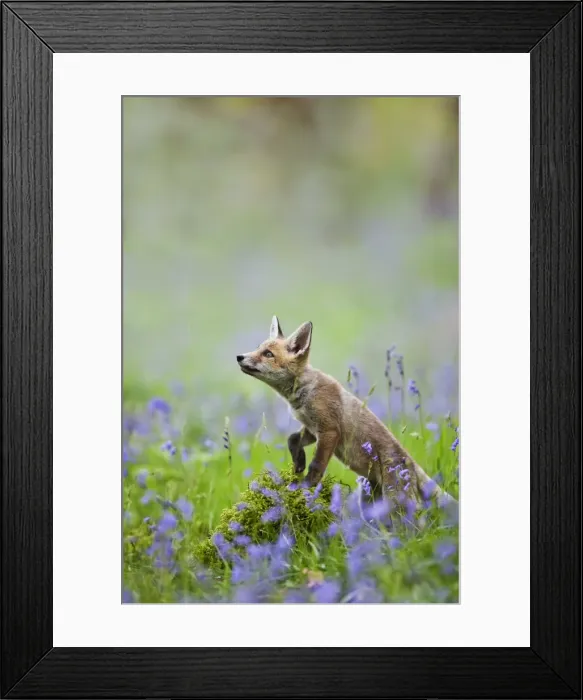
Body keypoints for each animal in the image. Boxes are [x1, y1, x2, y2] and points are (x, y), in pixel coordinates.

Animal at [237, 316, 456, 510]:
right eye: (259, 348)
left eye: (268, 354)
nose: (239, 356)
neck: (303, 391)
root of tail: (410, 461)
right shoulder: (312, 428)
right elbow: (292, 438)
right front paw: (298, 462)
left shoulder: (329, 431)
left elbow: (317, 465)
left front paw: (306, 486)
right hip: (369, 505)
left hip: (396, 501)